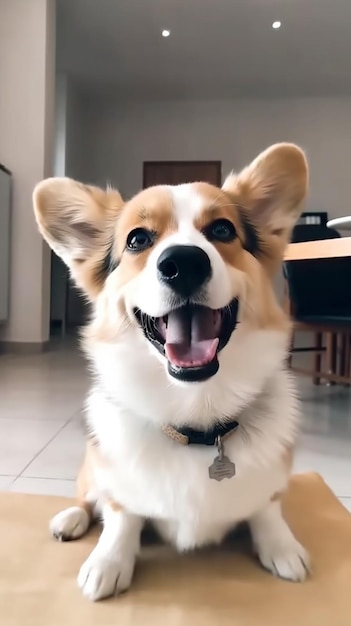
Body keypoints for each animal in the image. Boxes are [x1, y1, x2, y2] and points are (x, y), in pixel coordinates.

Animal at [32, 143, 308, 600]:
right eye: (138, 239)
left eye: (222, 230)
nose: (183, 262)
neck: (195, 413)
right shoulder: (118, 480)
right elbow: (121, 514)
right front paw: (109, 562)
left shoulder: (271, 481)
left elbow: (267, 508)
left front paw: (282, 547)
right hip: (92, 460)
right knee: (89, 495)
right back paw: (70, 519)